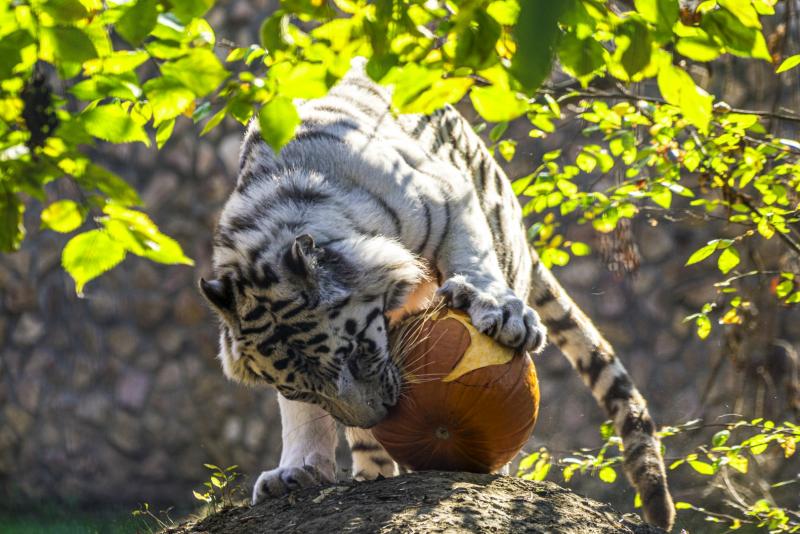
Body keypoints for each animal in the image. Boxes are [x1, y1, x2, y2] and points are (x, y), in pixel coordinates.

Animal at [202, 59, 676, 532]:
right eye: (305, 391)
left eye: (354, 354)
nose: (377, 417)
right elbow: (300, 418)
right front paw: (298, 472)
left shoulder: (446, 197)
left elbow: (472, 253)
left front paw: (500, 311)